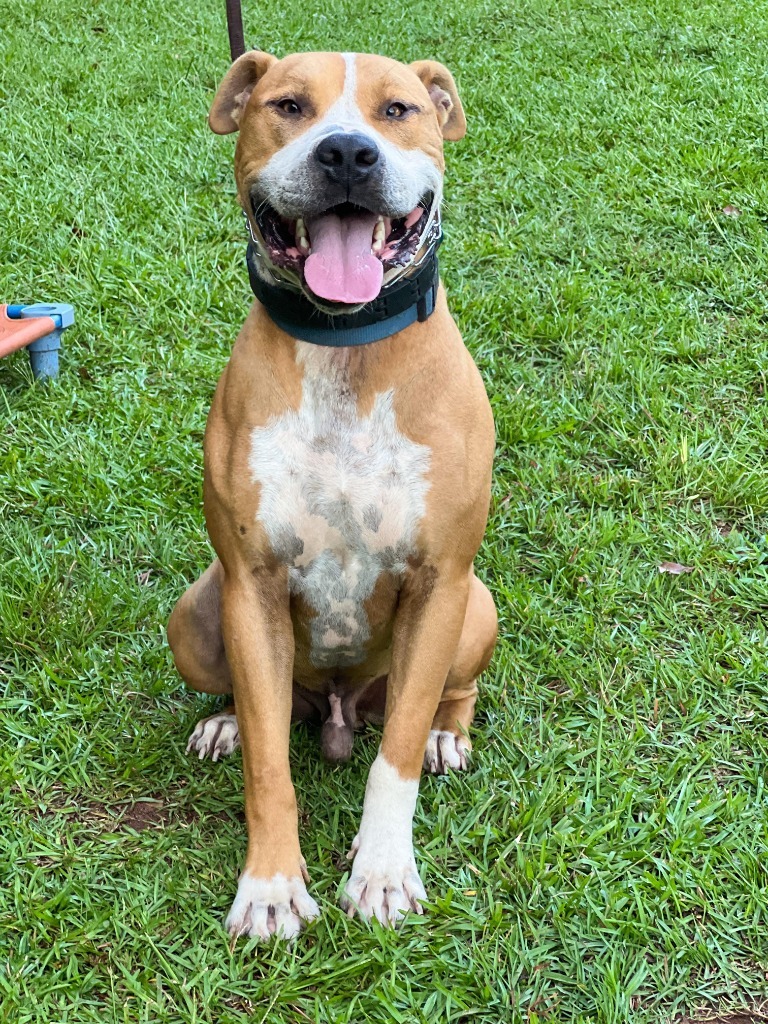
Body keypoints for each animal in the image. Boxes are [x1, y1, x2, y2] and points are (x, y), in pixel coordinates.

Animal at [167, 51, 499, 937]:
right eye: (287, 105)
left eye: (399, 111)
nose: (347, 153)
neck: (345, 347)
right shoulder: (252, 583)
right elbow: (268, 762)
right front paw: (272, 886)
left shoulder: (438, 581)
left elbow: (397, 757)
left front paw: (382, 871)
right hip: (195, 611)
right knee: (262, 707)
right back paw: (222, 721)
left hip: (476, 606)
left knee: (450, 695)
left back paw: (449, 737)